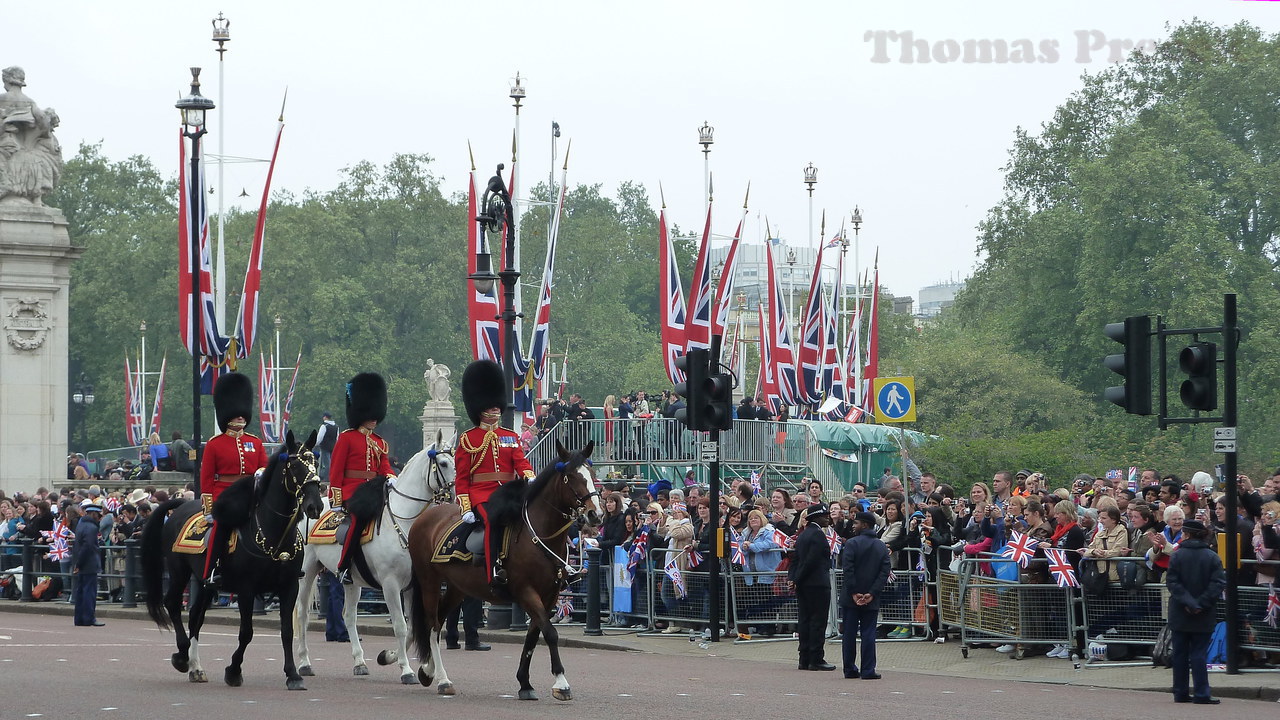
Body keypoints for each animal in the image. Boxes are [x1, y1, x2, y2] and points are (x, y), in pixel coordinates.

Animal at [142, 427, 325, 686]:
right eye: (295, 465)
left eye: (315, 462)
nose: (315, 506)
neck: (274, 532)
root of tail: (180, 506)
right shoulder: (247, 588)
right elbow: (246, 632)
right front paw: (234, 670)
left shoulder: (289, 585)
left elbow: (287, 631)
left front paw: (292, 674)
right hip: (179, 571)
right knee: (173, 605)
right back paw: (182, 655)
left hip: (204, 581)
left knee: (196, 616)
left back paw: (195, 667)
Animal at [294, 435, 455, 681]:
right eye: (444, 463)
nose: (454, 496)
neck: (405, 521)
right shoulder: (390, 584)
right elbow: (400, 625)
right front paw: (406, 670)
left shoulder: (412, 585)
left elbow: (410, 629)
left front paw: (389, 657)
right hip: (307, 571)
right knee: (302, 613)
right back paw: (304, 662)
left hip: (352, 581)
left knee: (349, 616)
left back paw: (360, 662)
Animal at [412, 438, 606, 696]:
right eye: (570, 477)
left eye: (592, 474)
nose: (596, 514)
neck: (540, 534)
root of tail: (425, 517)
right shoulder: (526, 591)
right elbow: (550, 633)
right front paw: (561, 682)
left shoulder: (550, 595)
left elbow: (534, 636)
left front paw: (524, 683)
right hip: (429, 582)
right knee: (432, 624)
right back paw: (442, 679)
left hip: (457, 587)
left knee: (438, 622)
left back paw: (428, 671)